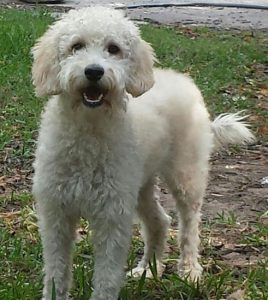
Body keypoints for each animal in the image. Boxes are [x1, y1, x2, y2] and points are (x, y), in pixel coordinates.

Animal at [31, 6, 255, 300]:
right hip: (140, 186)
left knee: (189, 224)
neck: (88, 130)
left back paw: (190, 270)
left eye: (113, 48)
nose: (94, 71)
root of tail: (185, 82)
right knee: (159, 220)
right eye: (76, 46)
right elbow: (56, 272)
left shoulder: (112, 218)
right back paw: (148, 270)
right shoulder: (56, 214)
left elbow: (106, 277)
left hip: (186, 176)